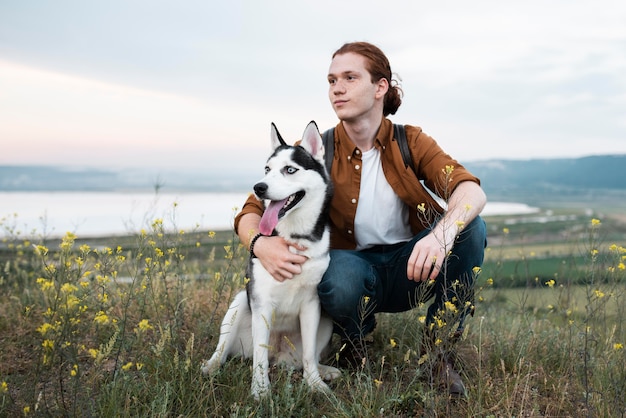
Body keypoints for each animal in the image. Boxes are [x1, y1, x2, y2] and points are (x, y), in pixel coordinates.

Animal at [201, 120, 338, 398]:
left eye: (290, 169)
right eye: (267, 169)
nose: (259, 187)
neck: (294, 237)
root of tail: (280, 355)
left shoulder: (312, 304)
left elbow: (309, 354)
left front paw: (314, 383)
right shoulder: (261, 301)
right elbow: (260, 357)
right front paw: (261, 390)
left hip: (326, 320)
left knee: (304, 358)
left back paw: (325, 370)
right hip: (239, 304)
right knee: (225, 350)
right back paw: (211, 366)